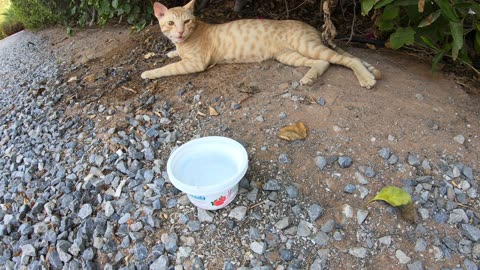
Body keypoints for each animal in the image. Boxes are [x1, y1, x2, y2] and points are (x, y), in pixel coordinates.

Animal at [141, 0, 380, 88]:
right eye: (171, 23)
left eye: (187, 21)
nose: (180, 32)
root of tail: (311, 26)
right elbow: (174, 55)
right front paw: (171, 52)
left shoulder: (195, 63)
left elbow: (168, 68)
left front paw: (148, 73)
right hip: (289, 56)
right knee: (324, 63)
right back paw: (310, 78)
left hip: (307, 46)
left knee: (348, 60)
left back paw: (366, 78)